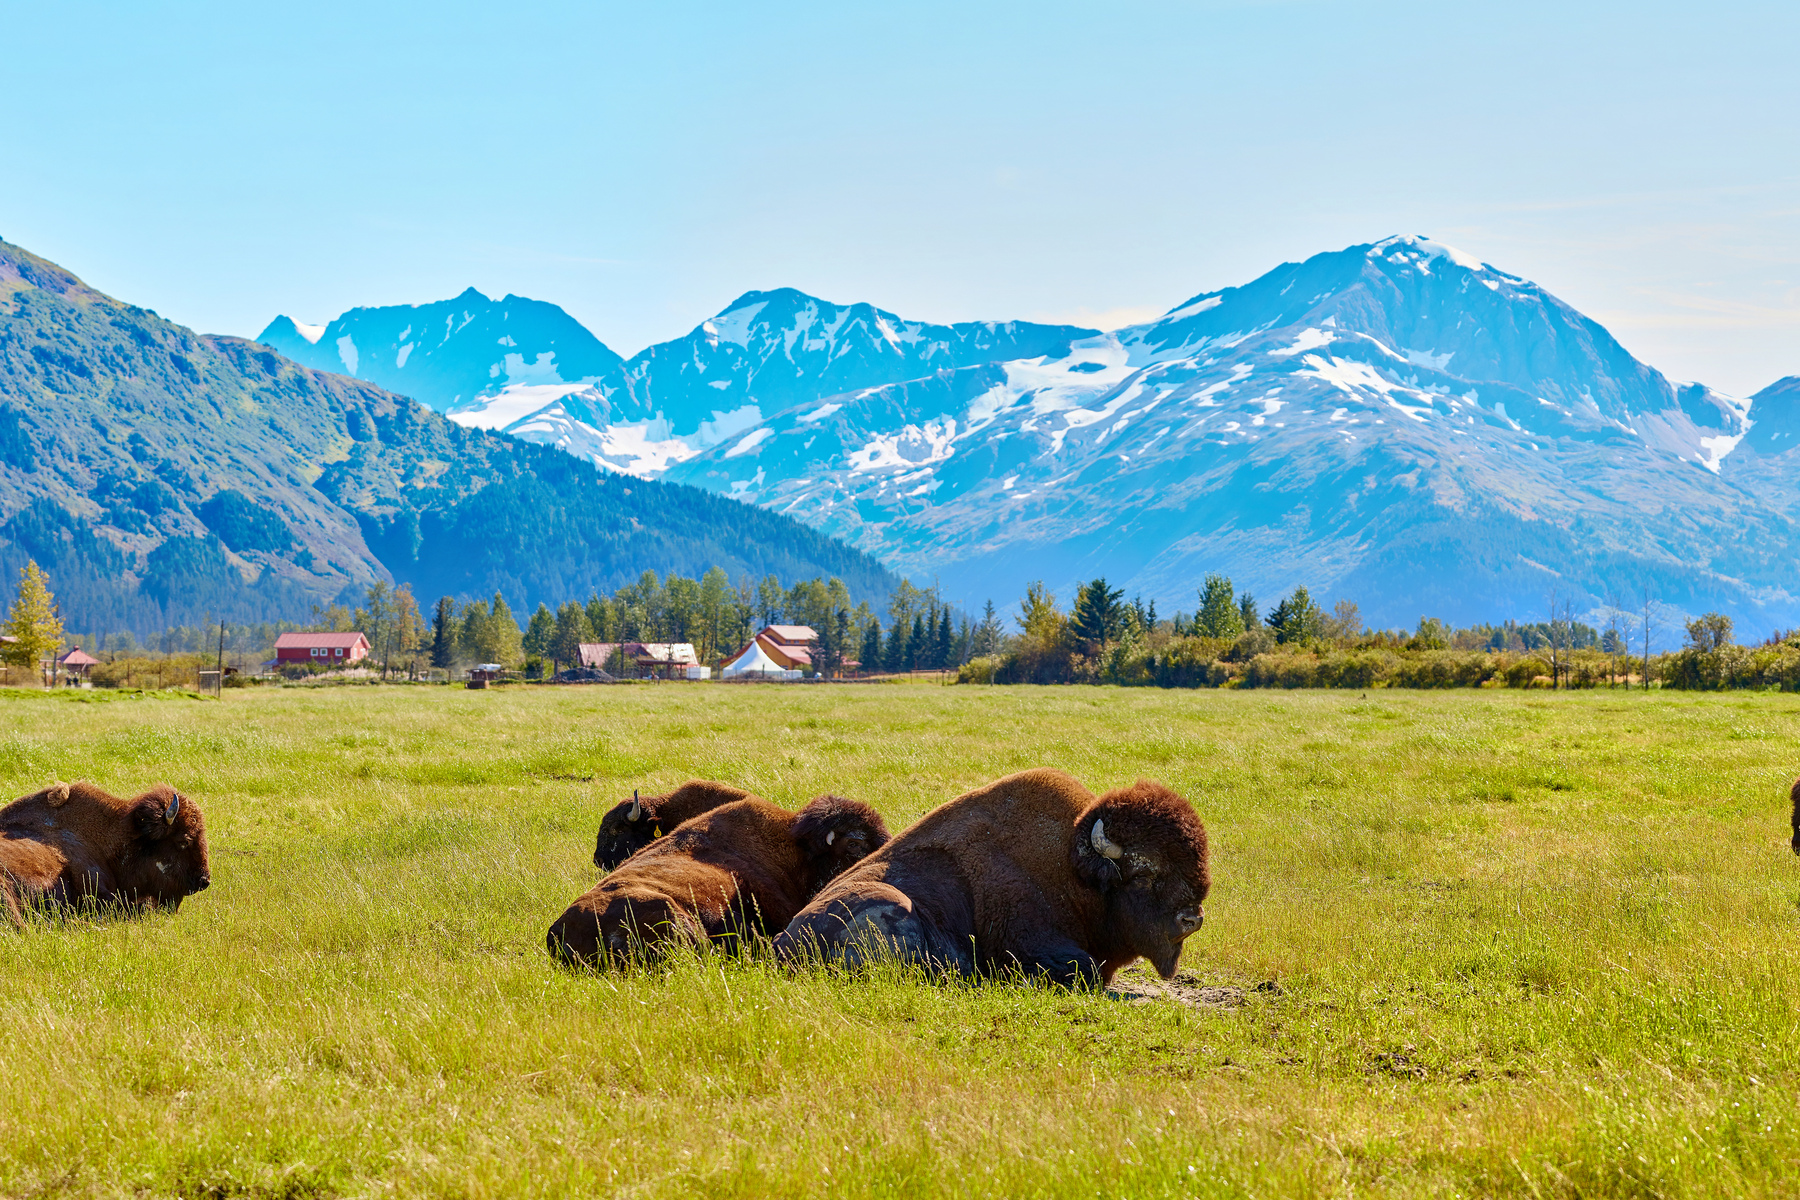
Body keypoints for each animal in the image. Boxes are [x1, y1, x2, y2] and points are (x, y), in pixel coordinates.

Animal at [774, 773, 1209, 993]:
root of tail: (780, 944)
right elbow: (1082, 968)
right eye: (1144, 874)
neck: (1071, 867)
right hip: (891, 903)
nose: (1191, 919)